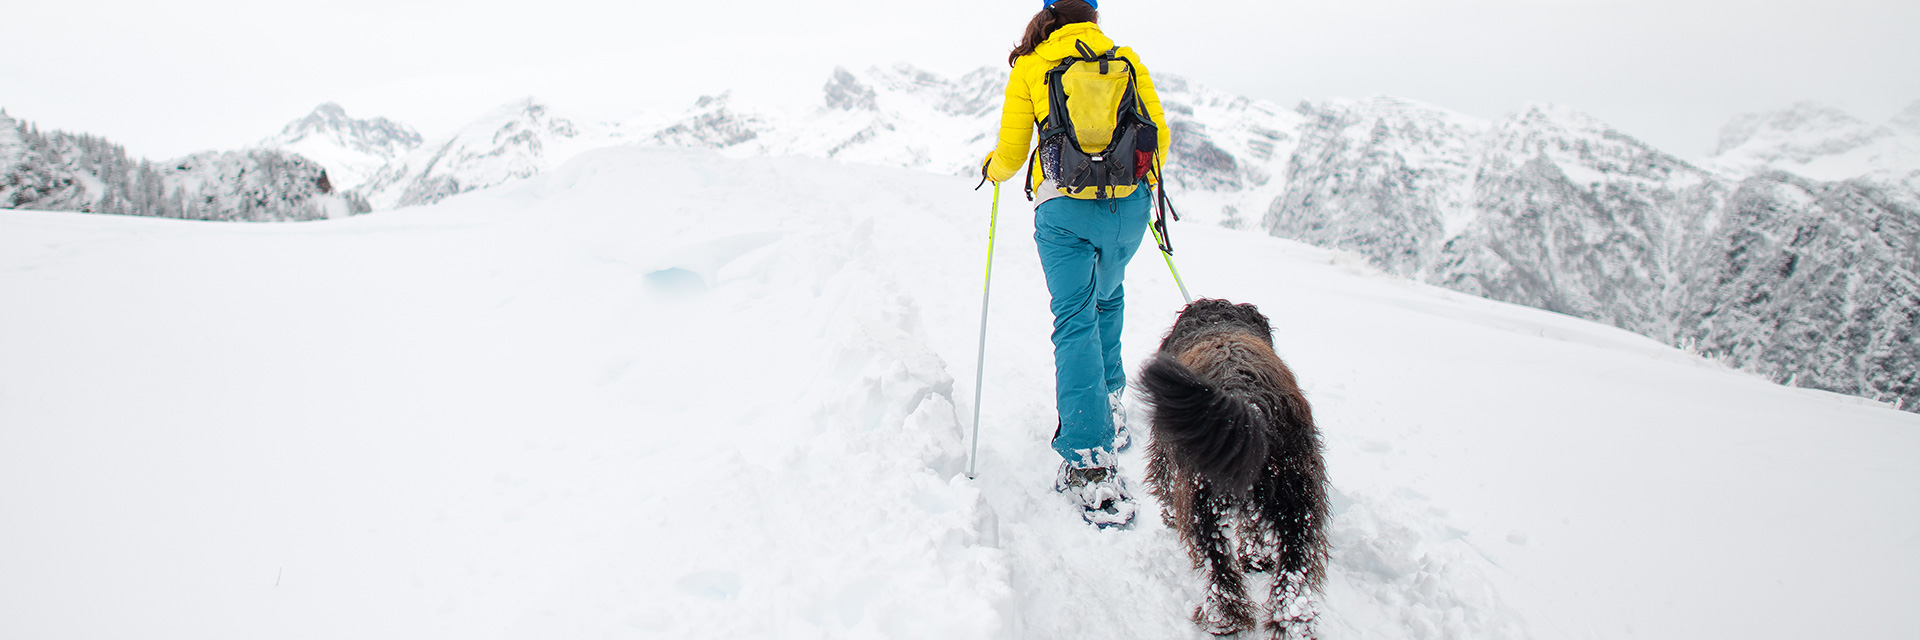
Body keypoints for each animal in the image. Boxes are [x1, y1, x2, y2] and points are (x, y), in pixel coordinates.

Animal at [1128, 299, 1328, 638]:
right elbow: (1254, 524)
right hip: (1296, 496)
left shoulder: (1167, 453)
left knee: (1217, 560)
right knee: (1295, 566)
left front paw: (1169, 516)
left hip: (1202, 497)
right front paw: (1257, 557)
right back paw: (1293, 622)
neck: (1218, 321)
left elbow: (1165, 483)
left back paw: (1221, 617)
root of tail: (1248, 402)